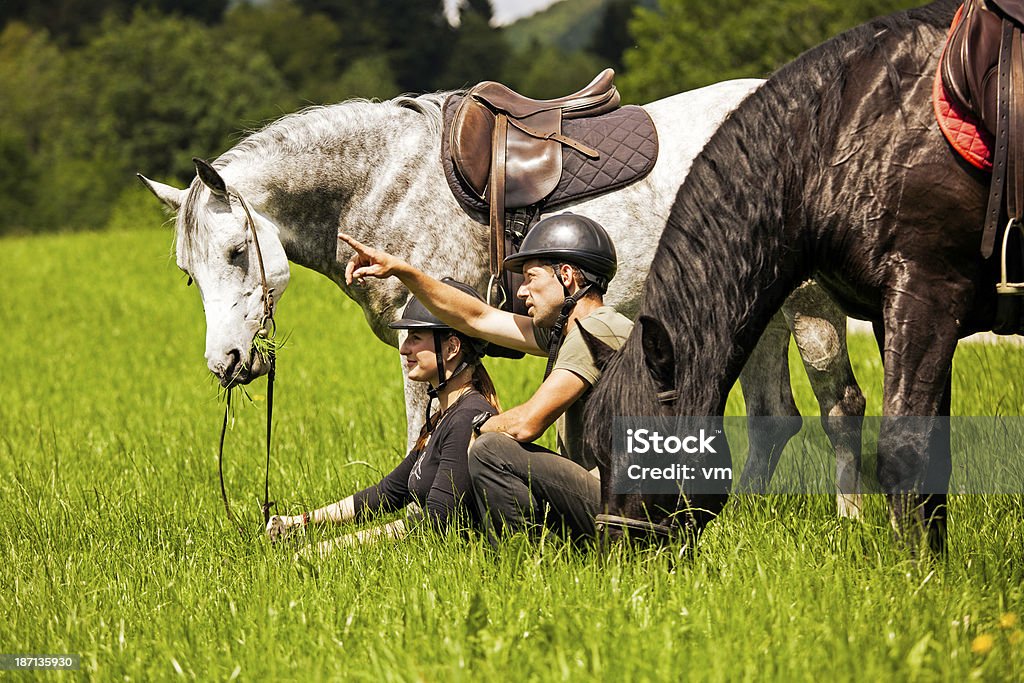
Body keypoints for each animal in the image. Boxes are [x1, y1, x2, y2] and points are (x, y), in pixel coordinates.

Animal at [585, 0, 1007, 552]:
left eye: (640, 450)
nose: (614, 551)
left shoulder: (927, 294)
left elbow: (906, 447)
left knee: (834, 409)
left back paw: (847, 516)